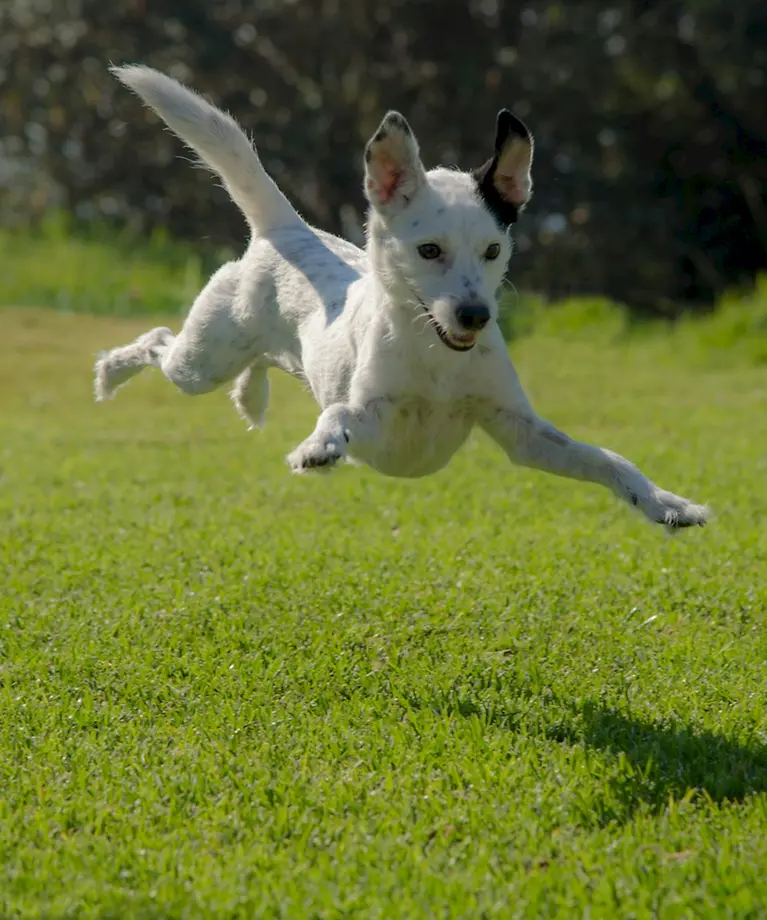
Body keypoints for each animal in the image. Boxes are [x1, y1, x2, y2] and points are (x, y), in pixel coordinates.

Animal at [94, 66, 708, 532]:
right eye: (429, 249)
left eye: (493, 249)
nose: (475, 316)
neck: (437, 360)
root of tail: (286, 229)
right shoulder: (376, 420)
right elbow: (339, 413)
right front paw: (319, 446)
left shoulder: (522, 433)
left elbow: (607, 459)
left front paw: (666, 503)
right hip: (201, 361)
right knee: (160, 341)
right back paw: (111, 372)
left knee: (257, 362)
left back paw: (250, 396)